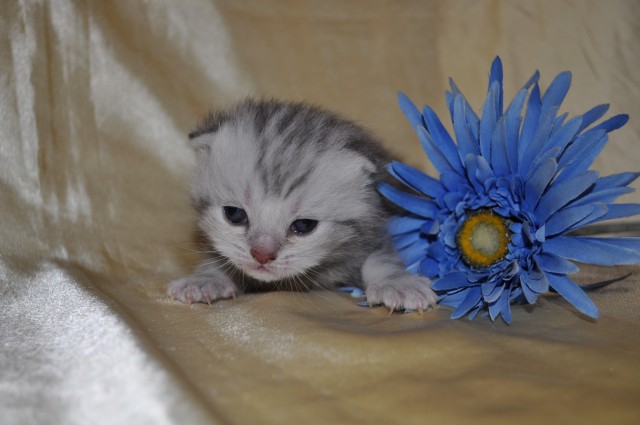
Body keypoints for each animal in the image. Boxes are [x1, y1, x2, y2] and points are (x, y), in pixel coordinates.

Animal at [168, 99, 438, 312]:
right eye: (234, 214)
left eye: (304, 225)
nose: (262, 255)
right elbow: (221, 257)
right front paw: (205, 279)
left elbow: (381, 258)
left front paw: (398, 284)